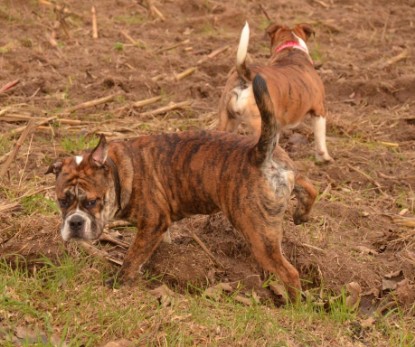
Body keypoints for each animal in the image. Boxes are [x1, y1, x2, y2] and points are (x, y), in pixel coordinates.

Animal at [45, 76, 316, 302]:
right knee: (308, 185)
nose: (75, 222)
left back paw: (293, 305)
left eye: (92, 202)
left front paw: (118, 282)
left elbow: (133, 256)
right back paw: (302, 213)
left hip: (258, 233)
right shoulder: (158, 225)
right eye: (62, 201)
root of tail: (258, 154)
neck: (120, 170)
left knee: (289, 273)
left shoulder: (152, 222)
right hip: (286, 177)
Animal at [219, 22, 334, 163]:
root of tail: (247, 77)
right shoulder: (319, 110)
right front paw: (324, 158)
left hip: (227, 120)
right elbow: (320, 138)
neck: (291, 49)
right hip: (261, 124)